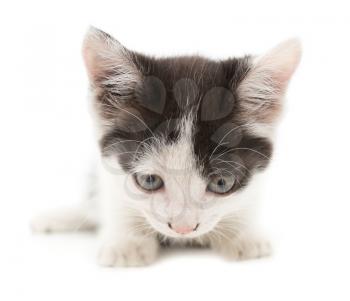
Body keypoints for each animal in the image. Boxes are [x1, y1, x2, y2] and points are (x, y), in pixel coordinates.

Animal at [31, 27, 302, 266]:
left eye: (222, 183)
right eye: (149, 180)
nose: (183, 229)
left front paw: (241, 234)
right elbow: (116, 199)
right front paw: (127, 242)